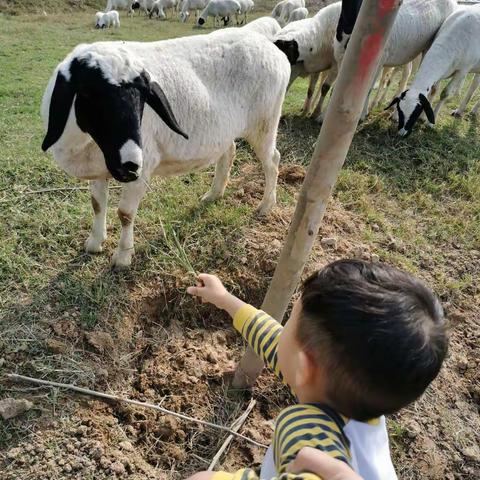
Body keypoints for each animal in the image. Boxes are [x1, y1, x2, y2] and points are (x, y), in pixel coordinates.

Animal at [390, 5, 480, 137]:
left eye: (416, 112)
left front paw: (430, 122)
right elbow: (433, 90)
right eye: (400, 110)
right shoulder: (439, 74)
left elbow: (445, 93)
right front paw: (424, 118)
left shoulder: (462, 71)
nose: (402, 133)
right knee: (475, 84)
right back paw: (463, 111)